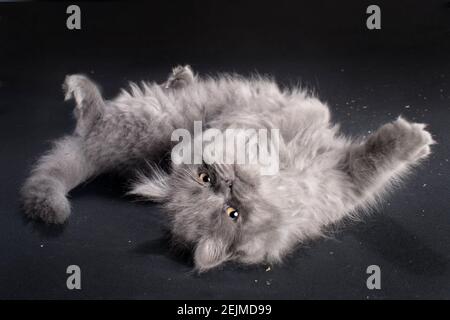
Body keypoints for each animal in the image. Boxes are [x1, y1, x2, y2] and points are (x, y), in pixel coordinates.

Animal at [20, 66, 432, 272]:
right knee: (89, 116)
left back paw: (180, 75)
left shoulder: (336, 177)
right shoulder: (344, 178)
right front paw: (415, 139)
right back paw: (77, 87)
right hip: (146, 118)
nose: (230, 184)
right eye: (231, 213)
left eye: (207, 179)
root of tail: (94, 153)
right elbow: (377, 155)